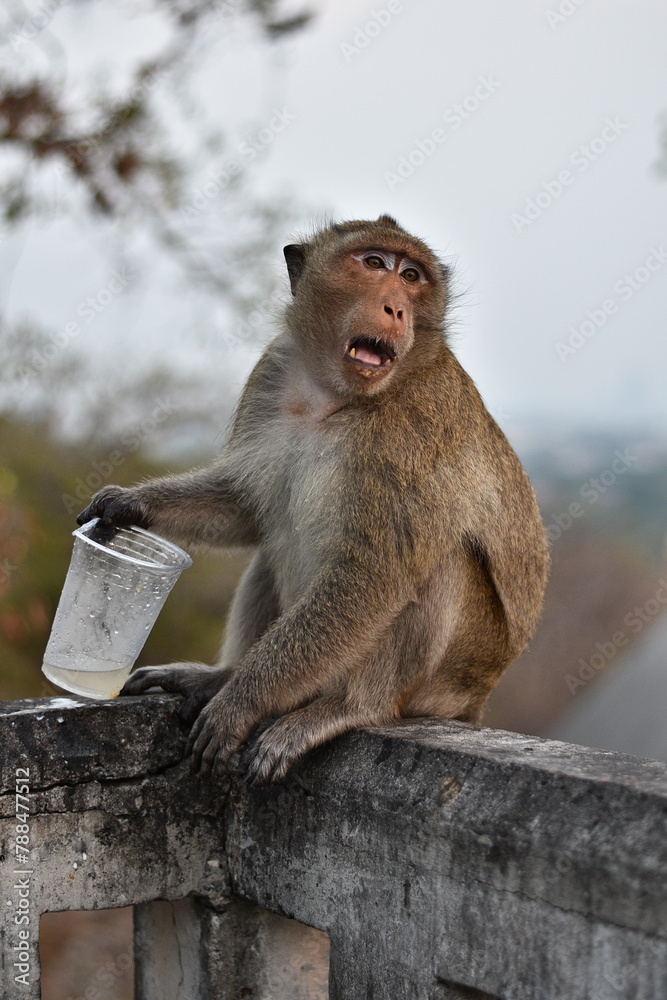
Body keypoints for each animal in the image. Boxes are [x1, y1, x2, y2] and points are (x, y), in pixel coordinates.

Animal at [77, 214, 549, 785]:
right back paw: (220, 676)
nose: (396, 308)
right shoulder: (273, 369)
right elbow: (245, 509)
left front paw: (242, 704)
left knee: (439, 563)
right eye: (374, 263)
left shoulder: (414, 428)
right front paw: (127, 505)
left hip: (448, 680)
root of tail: (475, 701)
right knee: (273, 542)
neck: (333, 395)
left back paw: (348, 707)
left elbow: (372, 575)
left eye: (412, 276)